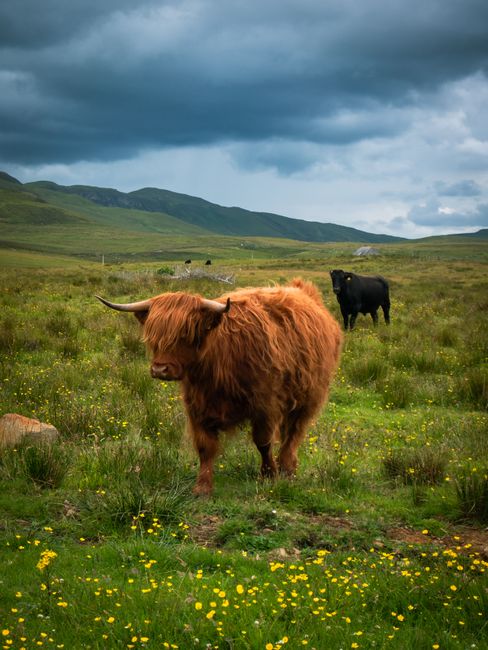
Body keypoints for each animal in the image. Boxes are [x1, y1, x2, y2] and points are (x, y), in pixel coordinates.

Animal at [96, 279, 343, 495]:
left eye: (185, 334)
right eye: (154, 336)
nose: (159, 369)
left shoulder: (266, 404)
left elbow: (263, 442)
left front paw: (268, 474)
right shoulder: (197, 405)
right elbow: (205, 447)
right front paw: (202, 487)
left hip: (309, 397)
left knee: (293, 433)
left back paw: (287, 467)